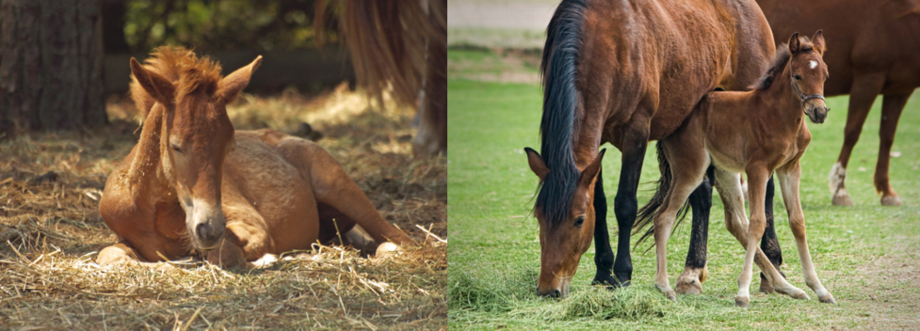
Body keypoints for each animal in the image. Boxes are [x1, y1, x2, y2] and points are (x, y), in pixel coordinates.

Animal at [96, 46, 410, 270]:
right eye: (176, 146)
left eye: (229, 146)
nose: (209, 229)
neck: (152, 210)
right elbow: (109, 255)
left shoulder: (251, 225)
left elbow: (225, 254)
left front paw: (267, 258)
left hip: (340, 187)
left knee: (398, 238)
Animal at [520, 0, 772, 298]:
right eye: (539, 216)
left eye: (579, 220)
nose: (549, 289)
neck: (607, 40)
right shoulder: (595, 144)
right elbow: (600, 204)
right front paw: (603, 272)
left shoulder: (636, 134)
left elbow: (625, 205)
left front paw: (622, 274)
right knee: (702, 196)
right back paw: (692, 273)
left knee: (767, 190)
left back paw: (770, 269)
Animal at [636, 31, 836, 308]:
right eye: (797, 76)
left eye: (825, 75)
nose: (819, 112)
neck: (780, 115)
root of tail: (672, 124)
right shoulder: (758, 168)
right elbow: (758, 223)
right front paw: (742, 292)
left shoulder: (790, 168)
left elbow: (797, 222)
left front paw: (819, 288)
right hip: (691, 170)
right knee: (664, 216)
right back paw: (664, 286)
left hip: (724, 172)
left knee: (736, 222)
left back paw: (789, 287)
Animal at [756, 0, 920, 206]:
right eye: (798, 76)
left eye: (826, 76)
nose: (819, 112)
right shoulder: (868, 77)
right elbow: (852, 132)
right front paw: (840, 190)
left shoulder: (900, 90)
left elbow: (887, 137)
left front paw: (887, 192)